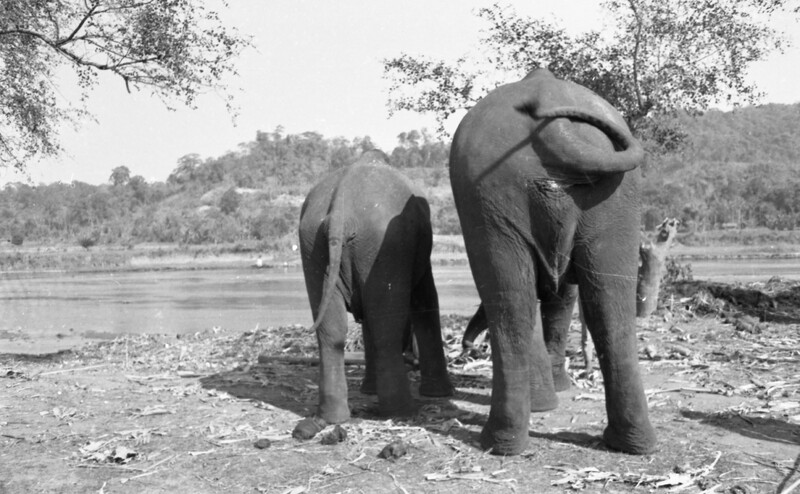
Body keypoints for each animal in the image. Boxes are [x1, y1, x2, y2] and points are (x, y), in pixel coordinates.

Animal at [295, 149, 454, 439]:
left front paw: (368, 390)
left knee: (332, 331)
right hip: (385, 244)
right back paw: (402, 412)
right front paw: (438, 394)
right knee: (385, 328)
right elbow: (426, 298)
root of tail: (339, 212)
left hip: (313, 244)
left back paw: (334, 417)